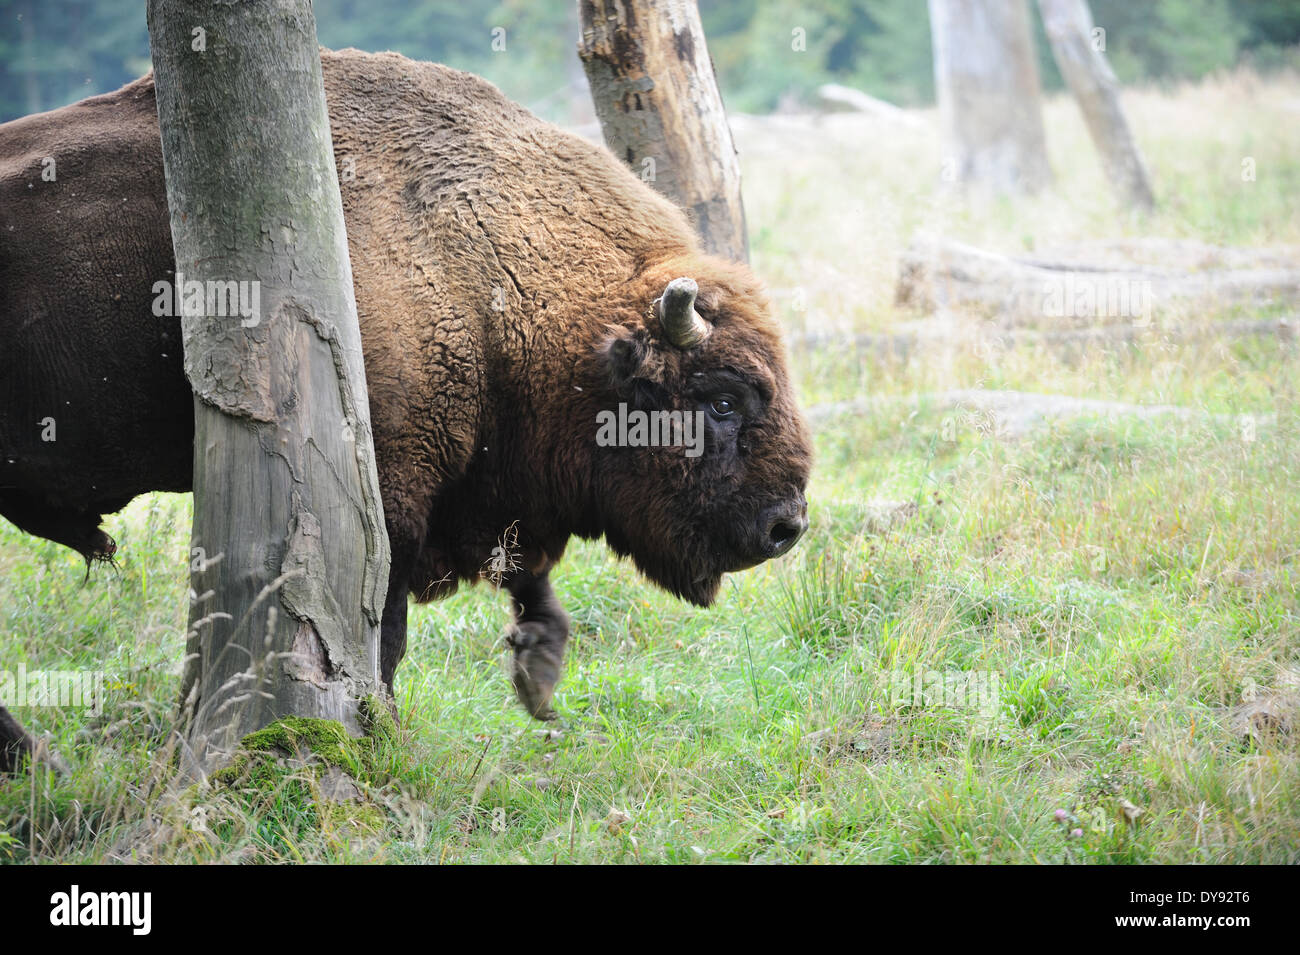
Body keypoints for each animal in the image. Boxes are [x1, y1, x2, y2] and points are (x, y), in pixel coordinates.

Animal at [0, 48, 811, 769]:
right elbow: (382, 633)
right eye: (723, 398)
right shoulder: (388, 498)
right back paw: (43, 765)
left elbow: (527, 583)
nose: (786, 526)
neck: (491, 270)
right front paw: (381, 729)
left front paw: (538, 677)